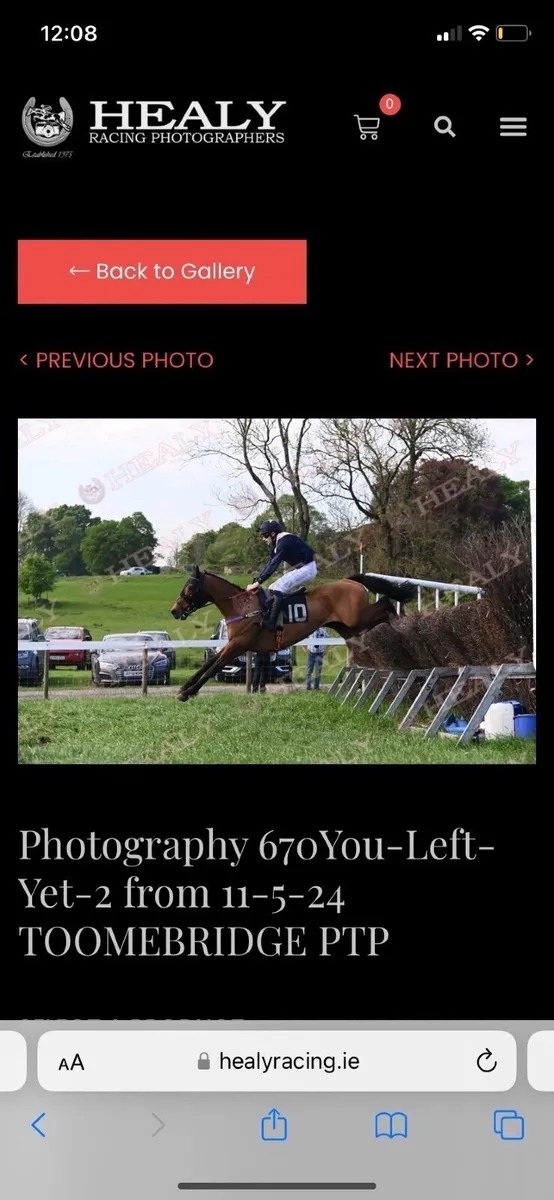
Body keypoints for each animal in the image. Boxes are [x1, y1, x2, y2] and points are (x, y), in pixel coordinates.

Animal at [170, 568, 417, 702]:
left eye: (190, 588)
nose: (175, 610)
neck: (241, 607)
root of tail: (349, 580)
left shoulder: (239, 644)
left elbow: (214, 666)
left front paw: (188, 692)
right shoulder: (232, 644)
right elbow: (209, 662)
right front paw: (184, 688)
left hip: (355, 619)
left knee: (385, 603)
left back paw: (400, 622)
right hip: (350, 626)